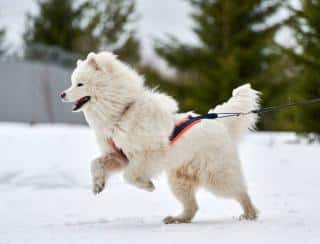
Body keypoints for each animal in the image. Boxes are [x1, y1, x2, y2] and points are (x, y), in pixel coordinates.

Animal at [61, 52, 262, 224]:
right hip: (179, 180)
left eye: (79, 84)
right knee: (192, 206)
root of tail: (219, 123)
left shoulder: (148, 154)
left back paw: (249, 213)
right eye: (71, 83)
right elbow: (95, 163)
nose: (61, 94)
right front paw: (98, 185)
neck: (122, 112)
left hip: (216, 175)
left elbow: (129, 175)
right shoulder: (118, 155)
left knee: (240, 191)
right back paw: (177, 219)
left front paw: (147, 185)